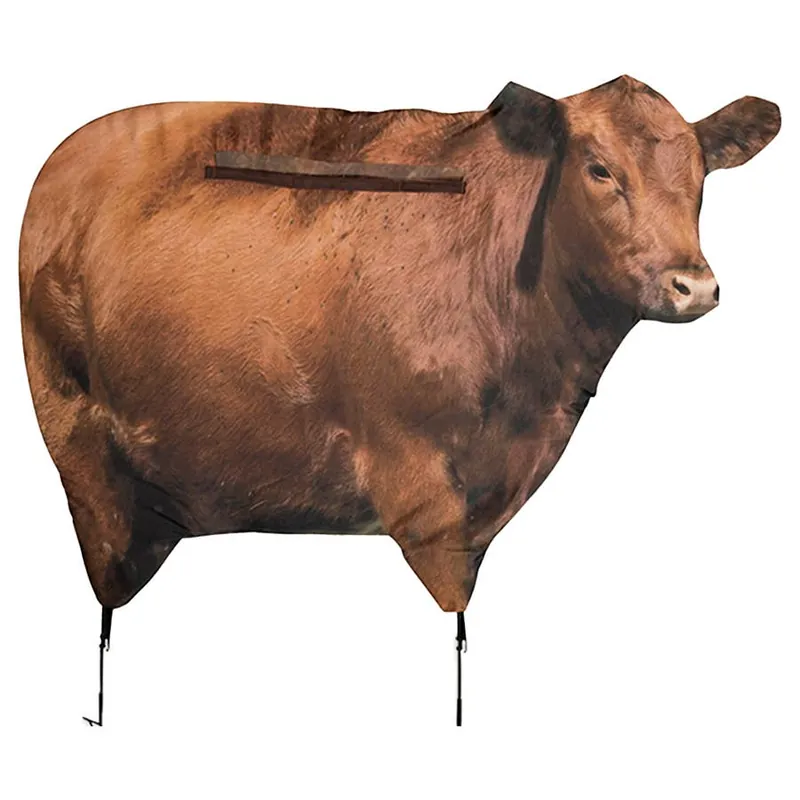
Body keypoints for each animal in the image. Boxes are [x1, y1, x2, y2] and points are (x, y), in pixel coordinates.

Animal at [19, 75, 780, 724]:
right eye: (599, 169)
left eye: (701, 173)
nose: (693, 285)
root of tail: (64, 156)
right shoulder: (410, 467)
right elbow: (448, 591)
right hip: (76, 437)